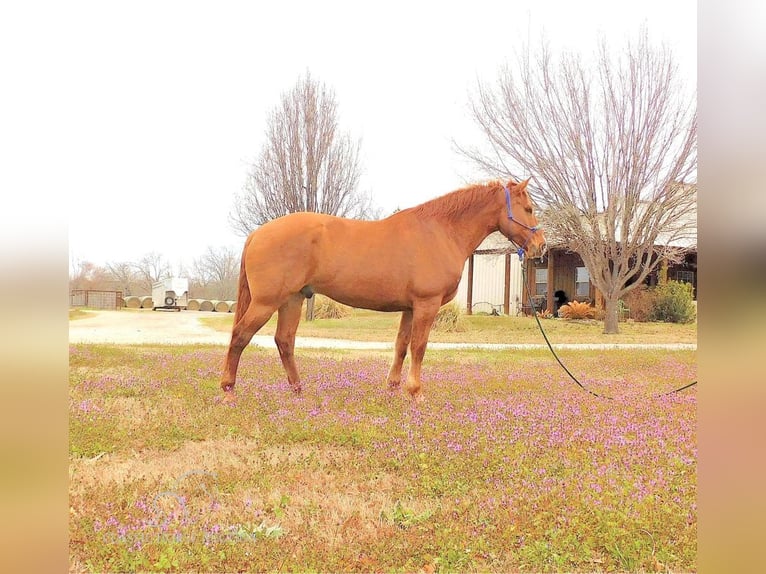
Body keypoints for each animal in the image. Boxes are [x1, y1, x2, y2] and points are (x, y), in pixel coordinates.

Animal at [219, 180, 548, 404]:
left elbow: (401, 346)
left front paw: (393, 389)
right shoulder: (426, 305)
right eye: (529, 209)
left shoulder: (410, 308)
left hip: (293, 299)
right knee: (240, 336)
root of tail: (258, 233)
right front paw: (416, 393)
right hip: (267, 301)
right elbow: (419, 347)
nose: (540, 246)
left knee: (284, 341)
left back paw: (299, 391)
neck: (440, 231)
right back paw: (228, 390)